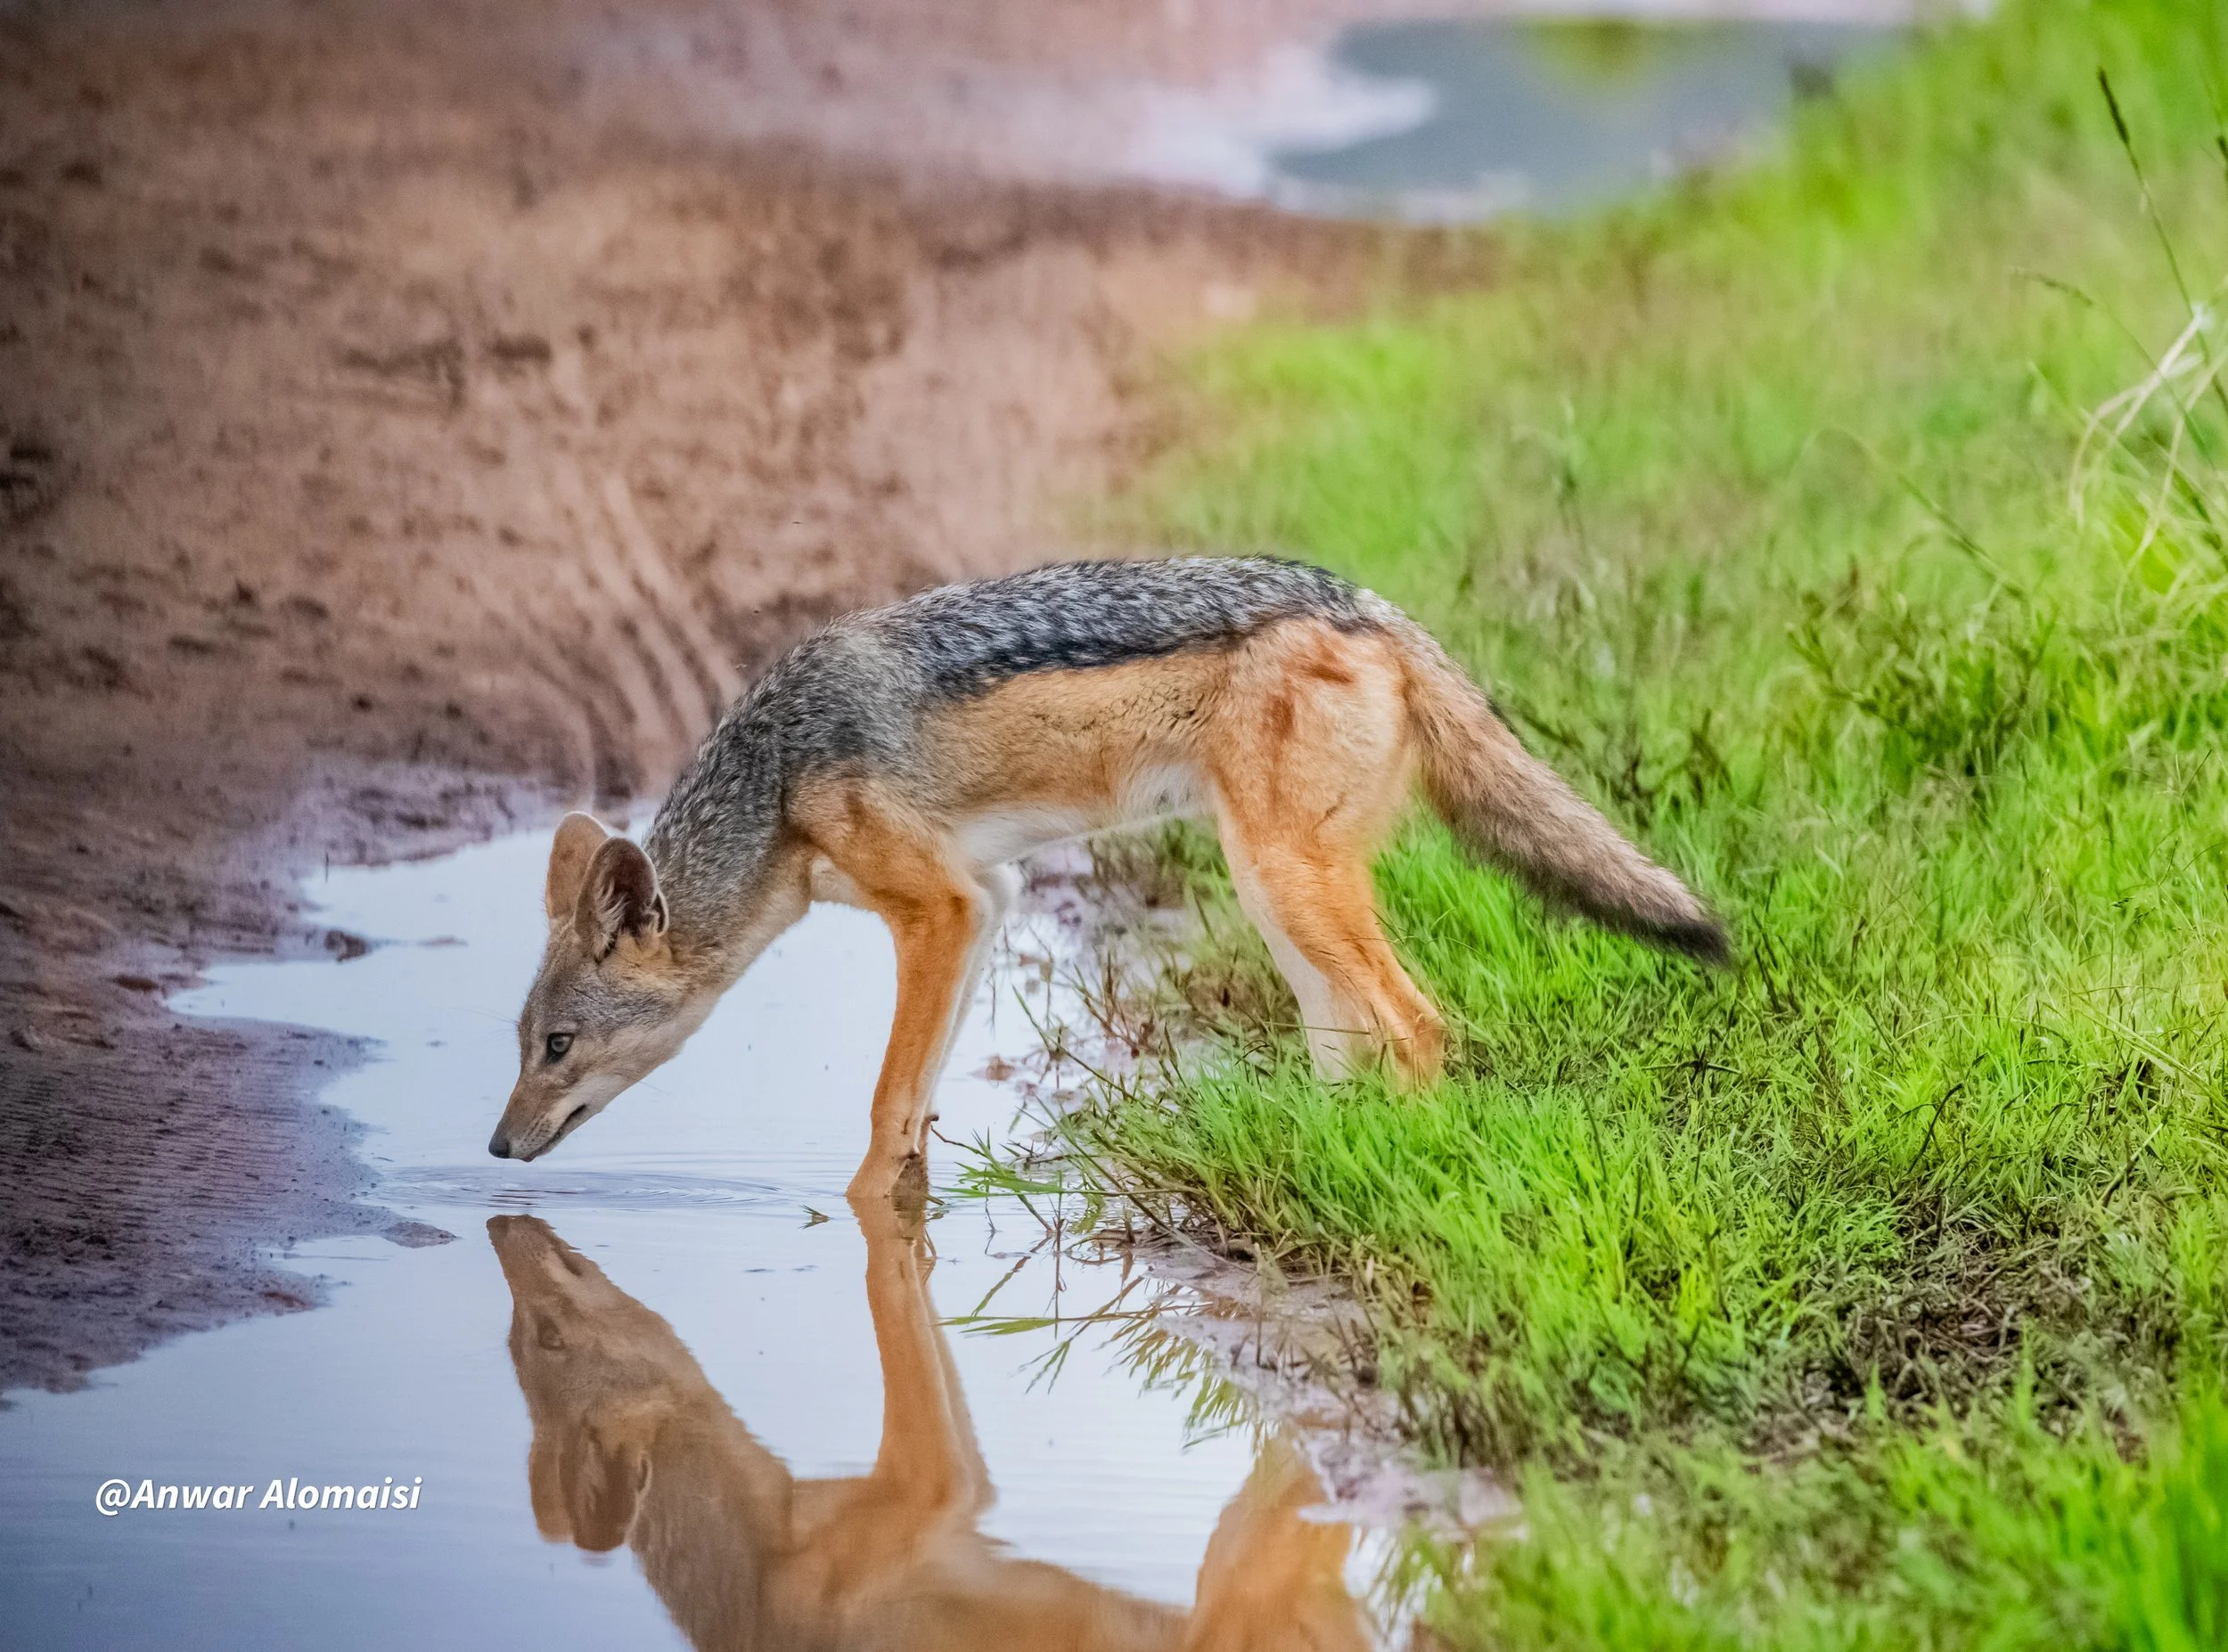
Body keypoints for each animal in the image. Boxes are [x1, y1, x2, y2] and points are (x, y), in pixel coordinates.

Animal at [488, 556, 1726, 1198]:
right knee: (1352, 1049)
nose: (495, 1148)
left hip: (1287, 887)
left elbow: (887, 1101)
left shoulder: (939, 910)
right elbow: (918, 1106)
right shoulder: (987, 903)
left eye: (557, 1047)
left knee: (1419, 1028)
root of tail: (1366, 603)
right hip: (1278, 905)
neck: (777, 776)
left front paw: (853, 1219)